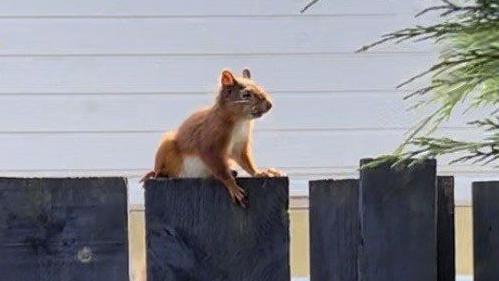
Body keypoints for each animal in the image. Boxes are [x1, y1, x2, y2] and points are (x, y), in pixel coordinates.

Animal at [143, 68, 284, 206]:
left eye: (261, 87)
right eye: (246, 94)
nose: (269, 105)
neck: (240, 121)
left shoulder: (239, 144)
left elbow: (246, 161)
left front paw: (260, 172)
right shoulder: (210, 141)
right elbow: (219, 167)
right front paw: (232, 186)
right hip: (167, 148)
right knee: (160, 171)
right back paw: (160, 174)